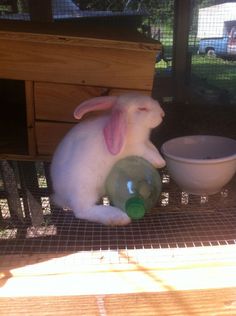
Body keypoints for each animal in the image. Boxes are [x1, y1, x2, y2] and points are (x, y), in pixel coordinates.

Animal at [50, 92, 165, 226]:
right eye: (142, 108)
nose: (162, 114)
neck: (129, 125)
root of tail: (60, 195)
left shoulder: (146, 142)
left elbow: (152, 147)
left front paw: (160, 158)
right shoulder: (135, 147)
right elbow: (146, 152)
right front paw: (160, 162)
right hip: (83, 188)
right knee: (83, 210)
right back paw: (117, 217)